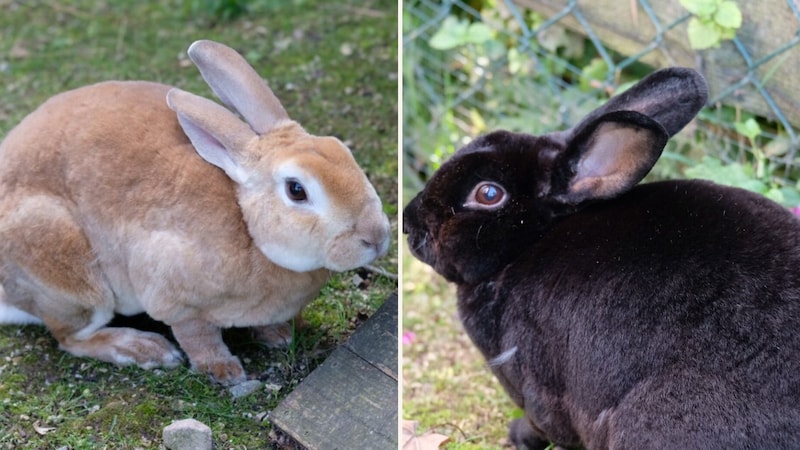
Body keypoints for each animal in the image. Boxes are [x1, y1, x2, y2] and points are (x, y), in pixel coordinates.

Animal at [0, 39, 390, 384]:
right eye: (297, 190)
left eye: (342, 150)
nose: (377, 236)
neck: (248, 227)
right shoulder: (175, 298)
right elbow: (197, 337)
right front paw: (224, 371)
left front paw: (279, 335)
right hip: (69, 270)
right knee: (70, 337)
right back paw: (144, 349)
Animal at [406, 67, 800, 450]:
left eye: (488, 194)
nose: (410, 221)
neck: (530, 242)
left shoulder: (534, 382)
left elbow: (545, 424)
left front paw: (518, 435)